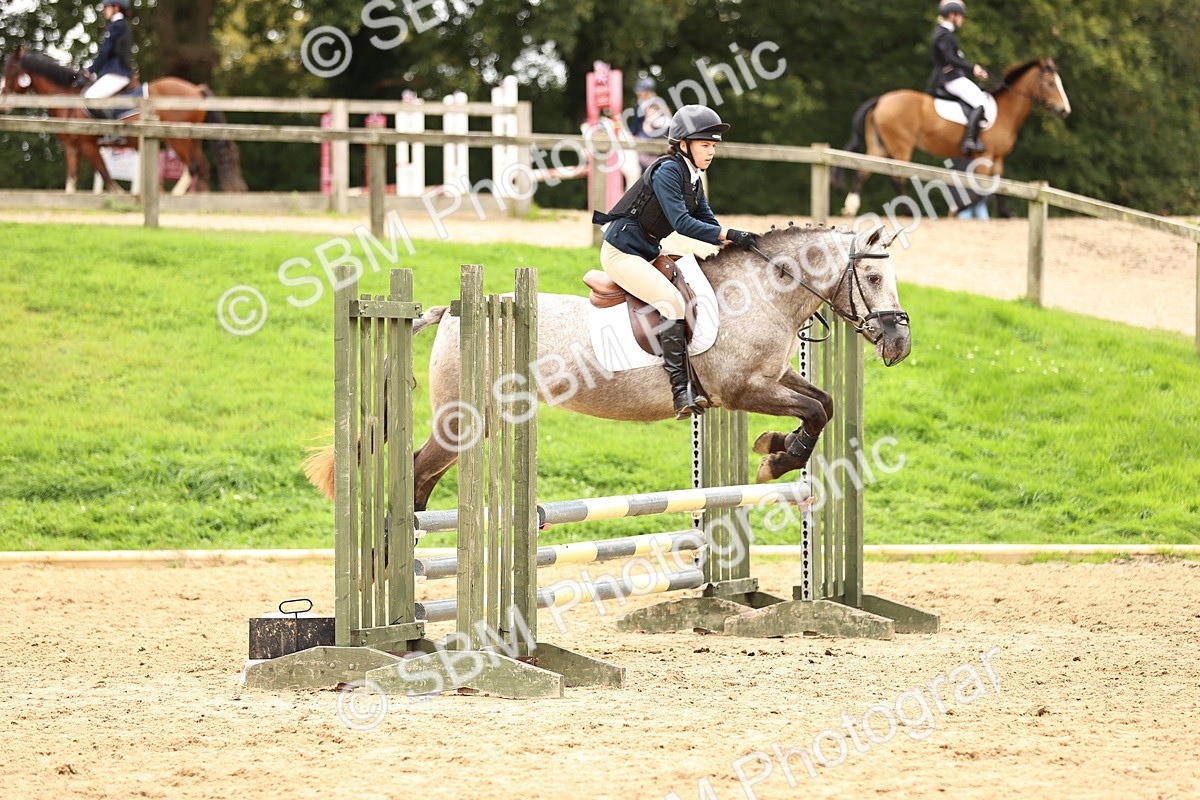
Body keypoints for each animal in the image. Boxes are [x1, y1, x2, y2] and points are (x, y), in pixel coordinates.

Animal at [0, 47, 246, 194]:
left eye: (9, 69)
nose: (2, 101)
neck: (68, 100)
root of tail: (195, 89)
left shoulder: (89, 146)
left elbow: (107, 177)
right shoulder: (72, 148)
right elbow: (71, 181)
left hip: (178, 139)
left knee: (193, 169)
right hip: (190, 140)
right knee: (202, 169)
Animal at [304, 224, 911, 511]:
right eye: (874, 278)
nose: (900, 344)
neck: (759, 293)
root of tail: (453, 310)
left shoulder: (772, 378)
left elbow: (823, 404)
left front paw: (774, 449)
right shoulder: (743, 388)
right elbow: (815, 411)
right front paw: (776, 459)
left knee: (424, 473)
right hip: (462, 419)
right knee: (415, 468)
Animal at [834, 58, 1070, 218]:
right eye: (1051, 84)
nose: (1064, 110)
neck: (1006, 112)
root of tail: (881, 100)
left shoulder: (997, 157)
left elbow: (998, 185)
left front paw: (1006, 214)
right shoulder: (984, 156)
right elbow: (980, 189)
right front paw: (955, 209)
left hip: (880, 145)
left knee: (863, 171)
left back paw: (850, 207)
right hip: (901, 146)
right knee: (896, 177)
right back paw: (909, 211)